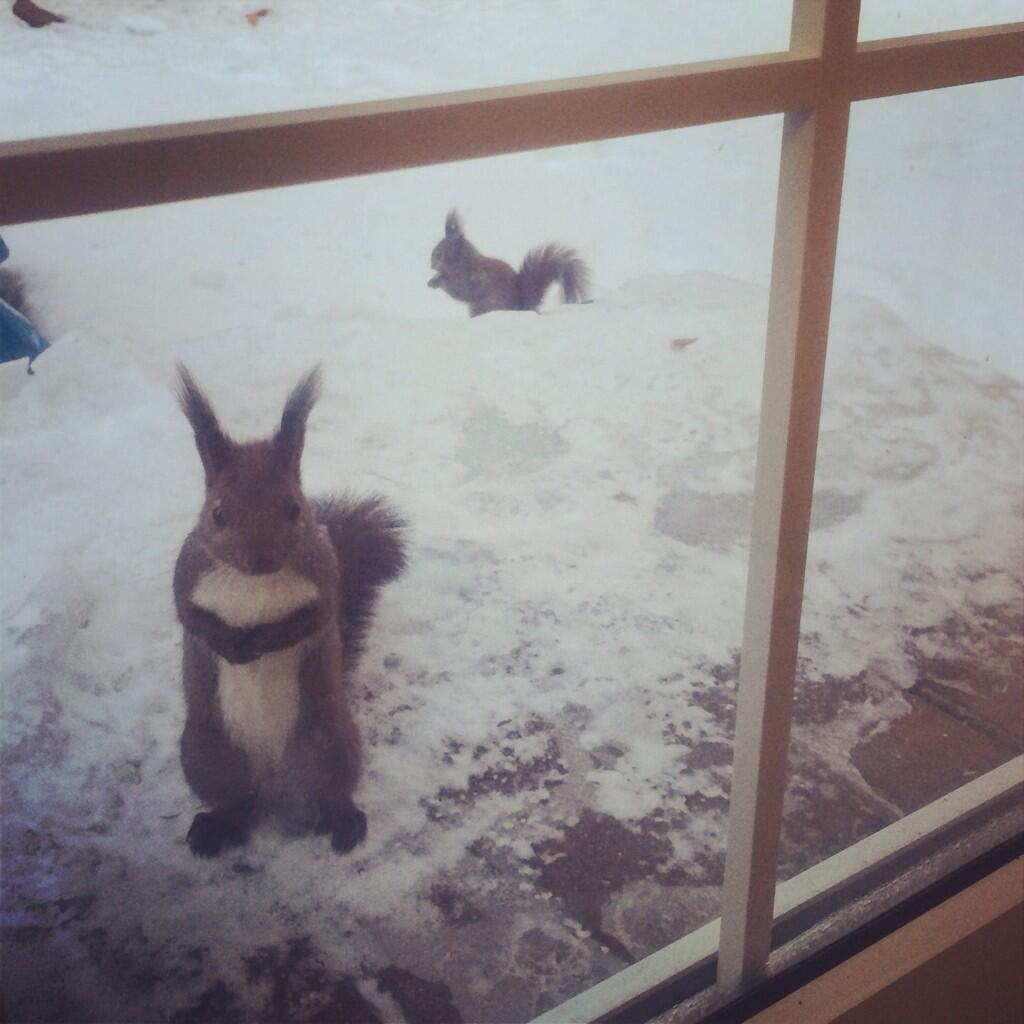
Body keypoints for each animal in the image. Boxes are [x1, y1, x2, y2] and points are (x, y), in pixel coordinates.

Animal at [173, 365, 406, 858]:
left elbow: (316, 617)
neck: (255, 583)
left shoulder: (325, 573)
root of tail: (273, 779)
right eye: (216, 513)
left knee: (328, 791)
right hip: (208, 753)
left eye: (295, 508)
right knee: (235, 799)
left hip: (328, 743)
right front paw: (232, 645)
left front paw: (266, 639)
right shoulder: (188, 571)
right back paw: (215, 826)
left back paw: (344, 822)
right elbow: (191, 616)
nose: (260, 560)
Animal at [427, 209, 591, 317]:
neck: (464, 261)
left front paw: (436, 282)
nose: (431, 265)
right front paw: (434, 279)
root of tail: (520, 308)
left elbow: (458, 290)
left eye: (439, 253)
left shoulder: (469, 278)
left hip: (484, 306)